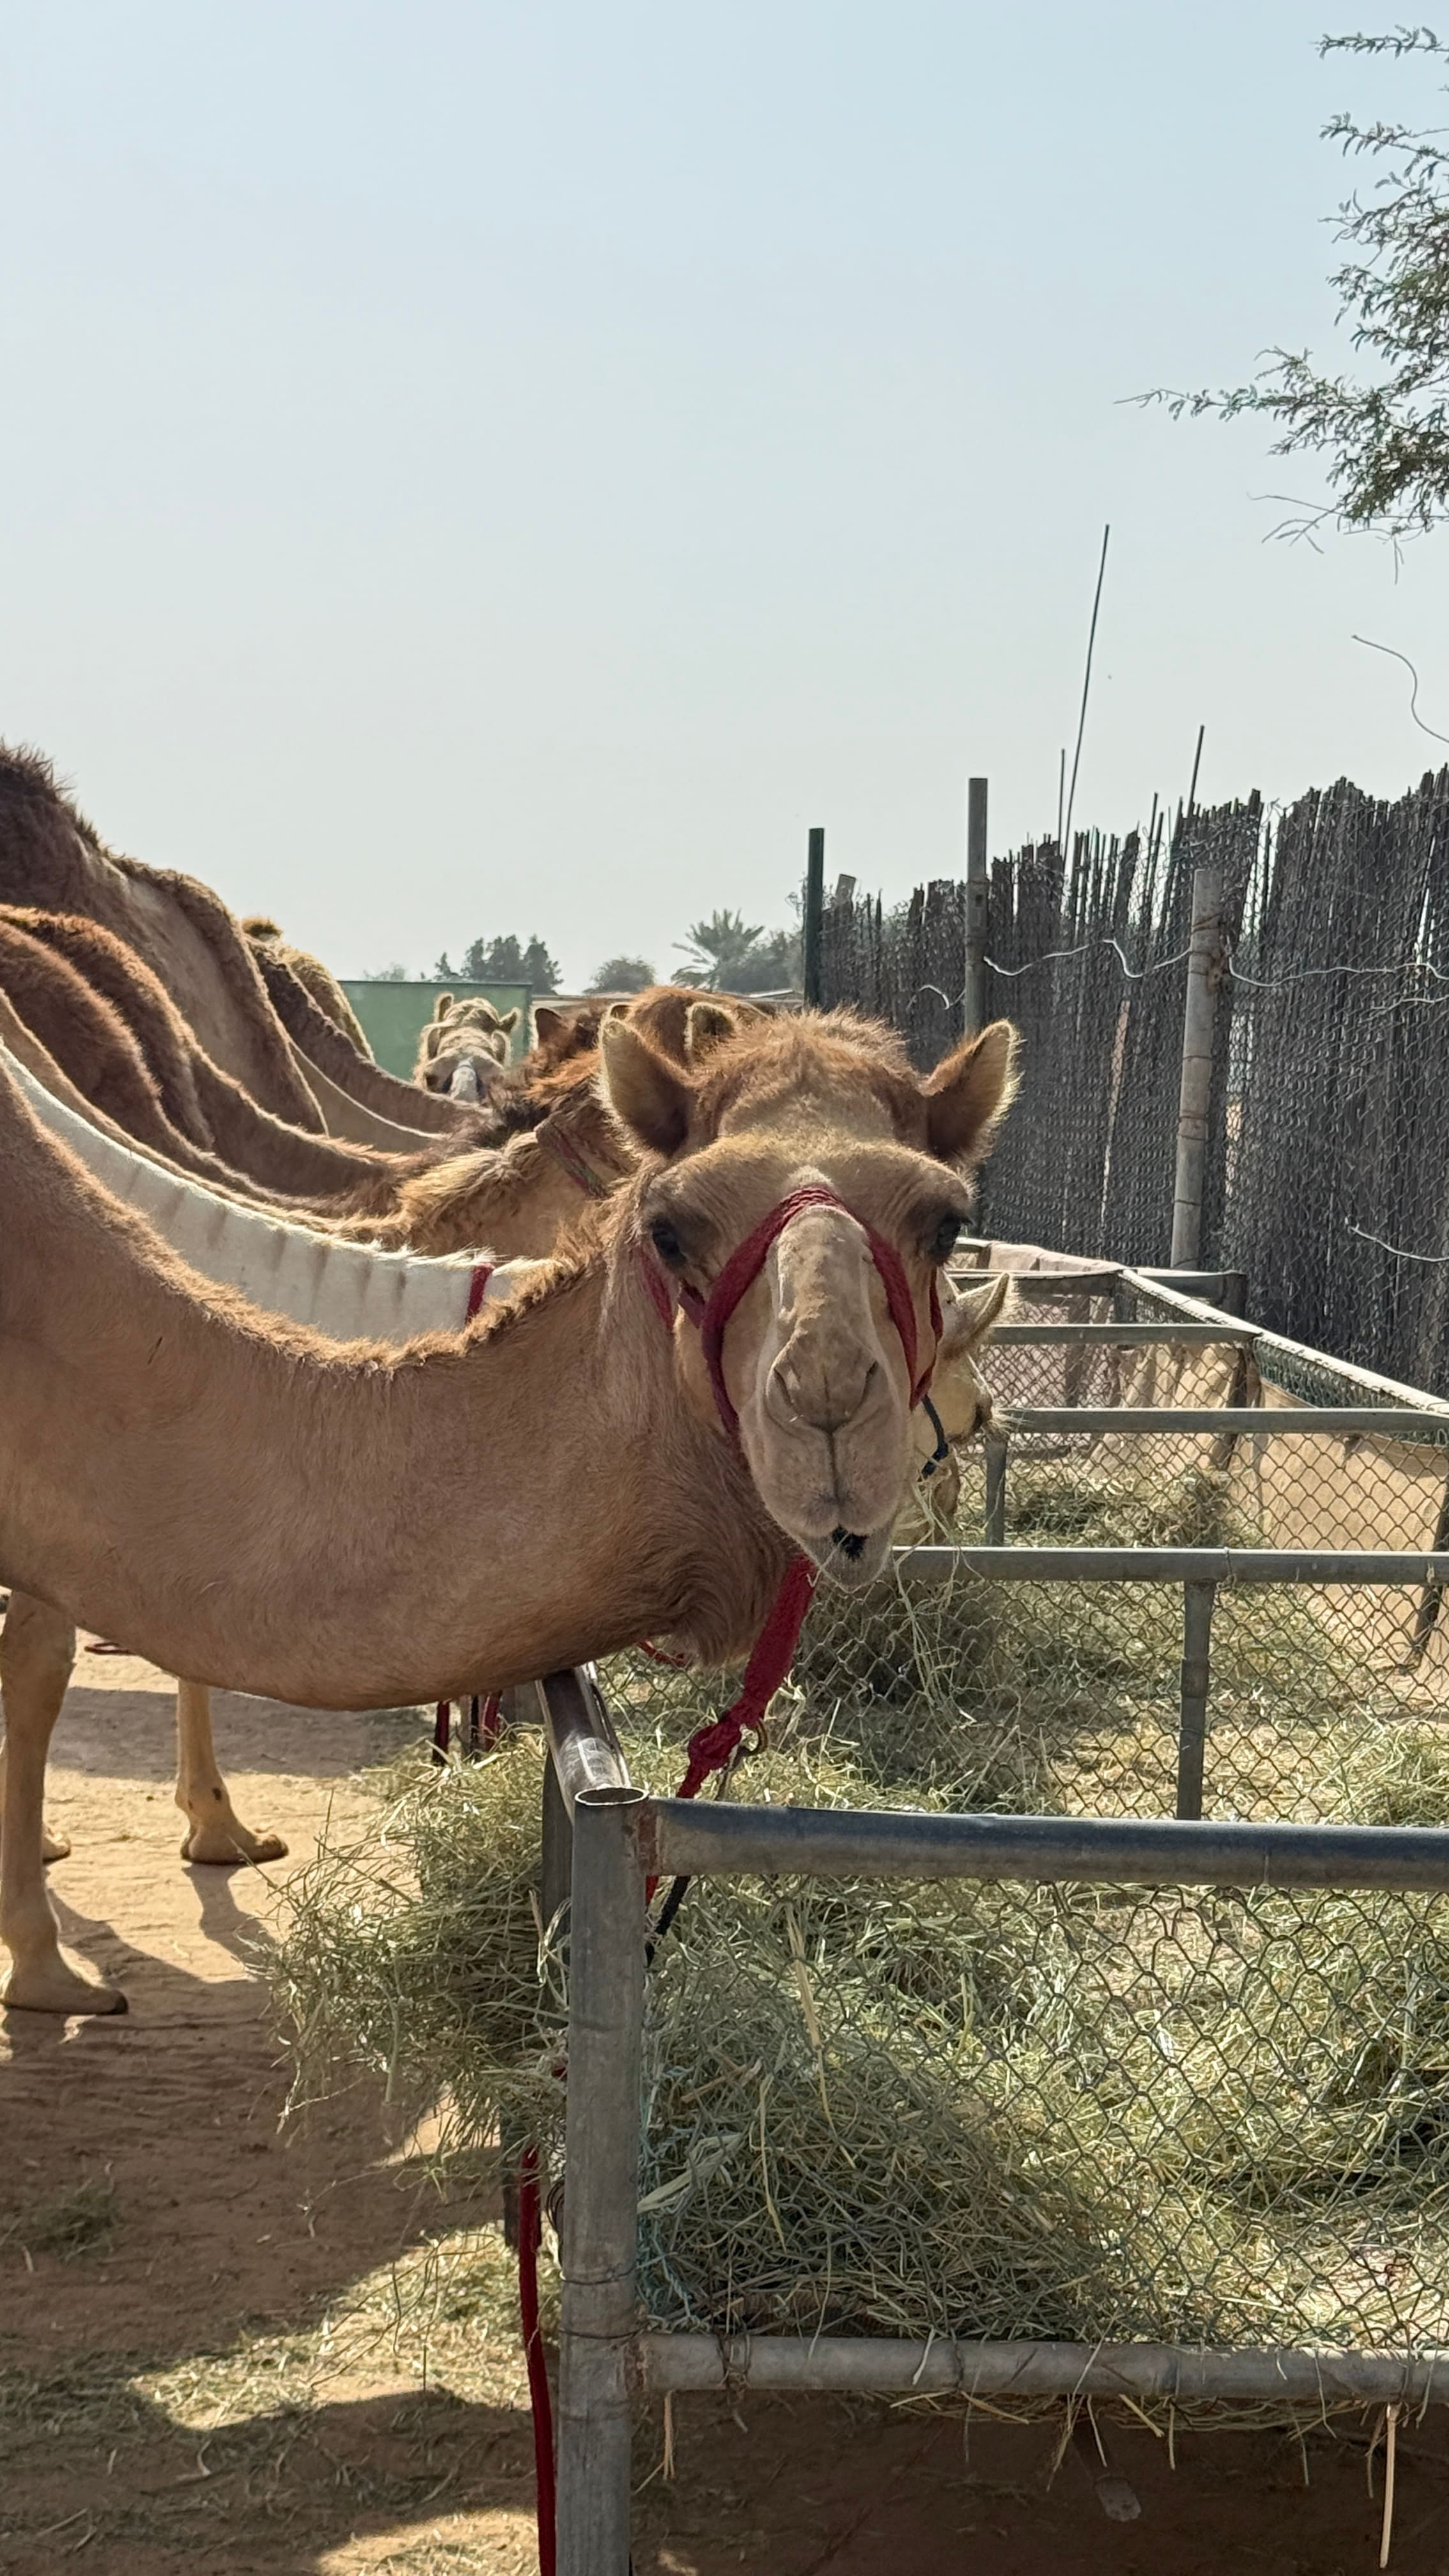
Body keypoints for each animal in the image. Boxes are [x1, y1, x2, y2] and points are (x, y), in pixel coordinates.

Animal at [0, 1003, 1018, 2011]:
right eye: (670, 1230)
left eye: (946, 1223)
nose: (826, 1403)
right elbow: (43, 1671)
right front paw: (49, 1969)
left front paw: (210, 1835)